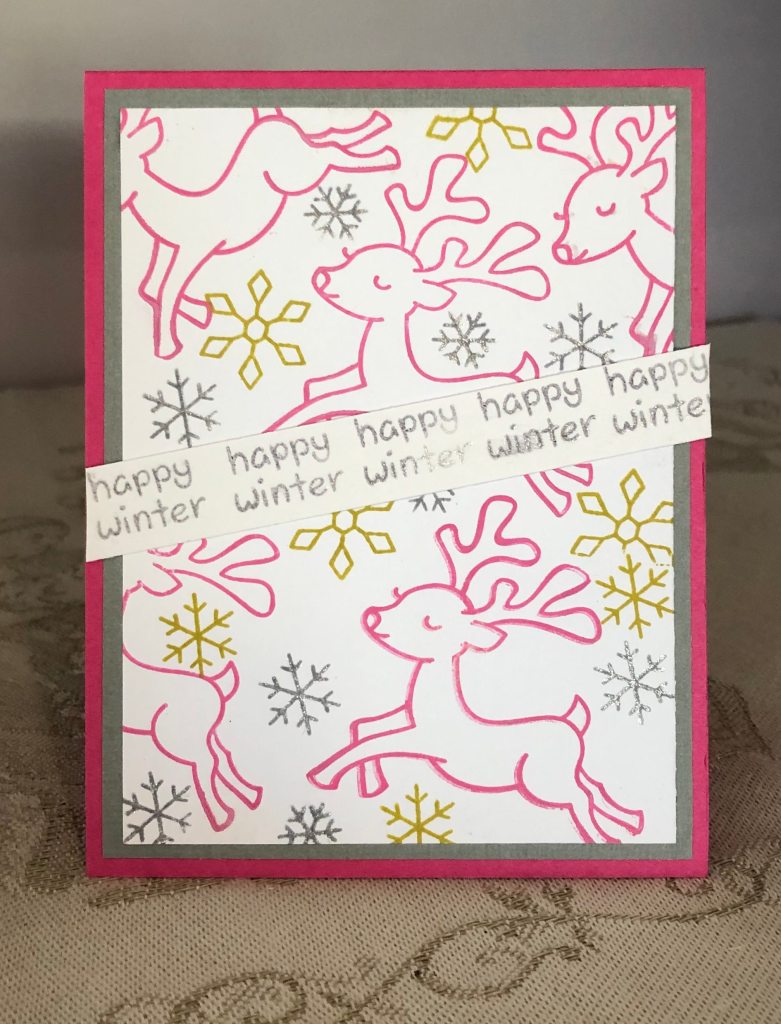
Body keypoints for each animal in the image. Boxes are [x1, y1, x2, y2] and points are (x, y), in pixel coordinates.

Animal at [120, 107, 401, 360]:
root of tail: (272, 125)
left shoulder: (193, 250)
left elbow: (166, 290)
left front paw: (168, 347)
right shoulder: (165, 246)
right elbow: (152, 287)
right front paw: (201, 314)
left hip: (296, 174)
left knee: (330, 149)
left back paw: (386, 155)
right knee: (327, 137)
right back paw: (377, 129)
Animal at [122, 533, 278, 831]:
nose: (259, 614)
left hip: (178, 737)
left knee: (208, 763)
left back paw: (223, 815)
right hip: (200, 733)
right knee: (221, 756)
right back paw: (247, 799)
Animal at [269, 154, 550, 429]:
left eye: (379, 281)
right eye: (350, 255)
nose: (323, 276)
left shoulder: (367, 394)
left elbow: (319, 405)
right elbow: (319, 393)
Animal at [308, 496, 645, 844]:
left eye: (430, 622)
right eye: (399, 596)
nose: (372, 617)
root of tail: (574, 726)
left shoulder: (425, 740)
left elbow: (373, 743)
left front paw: (326, 776)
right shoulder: (408, 717)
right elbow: (366, 729)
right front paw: (371, 783)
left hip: (543, 780)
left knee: (579, 799)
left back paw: (605, 837)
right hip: (568, 770)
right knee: (594, 786)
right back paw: (629, 822)